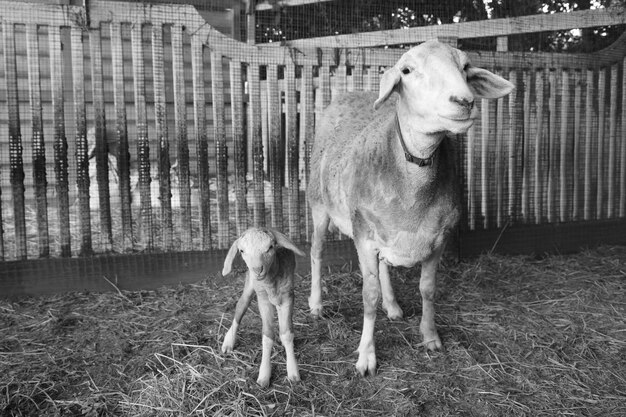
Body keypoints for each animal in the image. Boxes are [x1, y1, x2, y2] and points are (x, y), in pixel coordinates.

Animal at [222, 228, 304, 386]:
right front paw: (264, 375)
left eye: (270, 247)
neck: (270, 282)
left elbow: (287, 333)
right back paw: (228, 342)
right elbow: (267, 336)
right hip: (250, 284)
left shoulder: (288, 296)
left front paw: (293, 372)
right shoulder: (263, 299)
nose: (257, 269)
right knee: (241, 306)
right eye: (242, 250)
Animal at [306, 39, 512, 376]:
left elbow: (427, 288)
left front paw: (430, 337)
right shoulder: (364, 236)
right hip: (319, 203)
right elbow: (368, 295)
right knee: (317, 251)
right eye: (406, 70)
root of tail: (350, 93)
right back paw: (316, 304)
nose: (464, 101)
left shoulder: (438, 238)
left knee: (383, 266)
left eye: (466, 67)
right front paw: (366, 355)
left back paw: (392, 306)